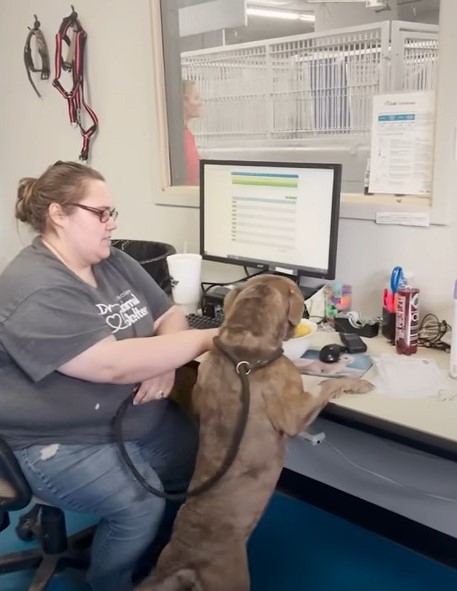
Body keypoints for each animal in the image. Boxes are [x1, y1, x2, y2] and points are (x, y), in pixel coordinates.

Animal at [134, 276, 370, 591]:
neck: (245, 339)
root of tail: (184, 565)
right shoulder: (295, 412)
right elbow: (325, 386)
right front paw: (360, 385)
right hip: (234, 579)